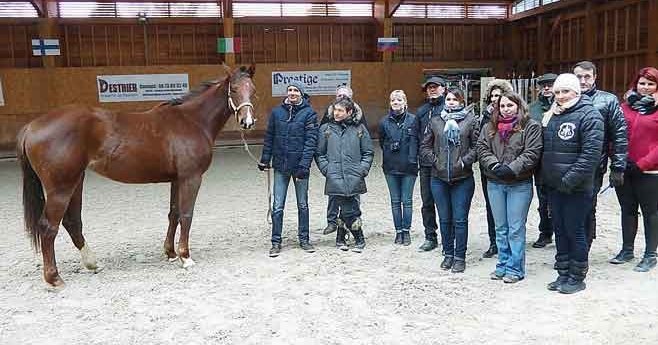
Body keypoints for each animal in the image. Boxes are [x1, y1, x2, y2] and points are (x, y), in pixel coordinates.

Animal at [17, 64, 254, 288]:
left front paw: (170, 253)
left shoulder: (177, 180)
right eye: (233, 89)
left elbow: (174, 214)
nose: (247, 122)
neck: (191, 120)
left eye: (252, 89)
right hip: (61, 188)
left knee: (72, 222)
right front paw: (185, 257)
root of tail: (31, 126)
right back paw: (54, 279)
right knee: (49, 227)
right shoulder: (191, 178)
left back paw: (92, 264)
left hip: (75, 182)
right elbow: (187, 215)